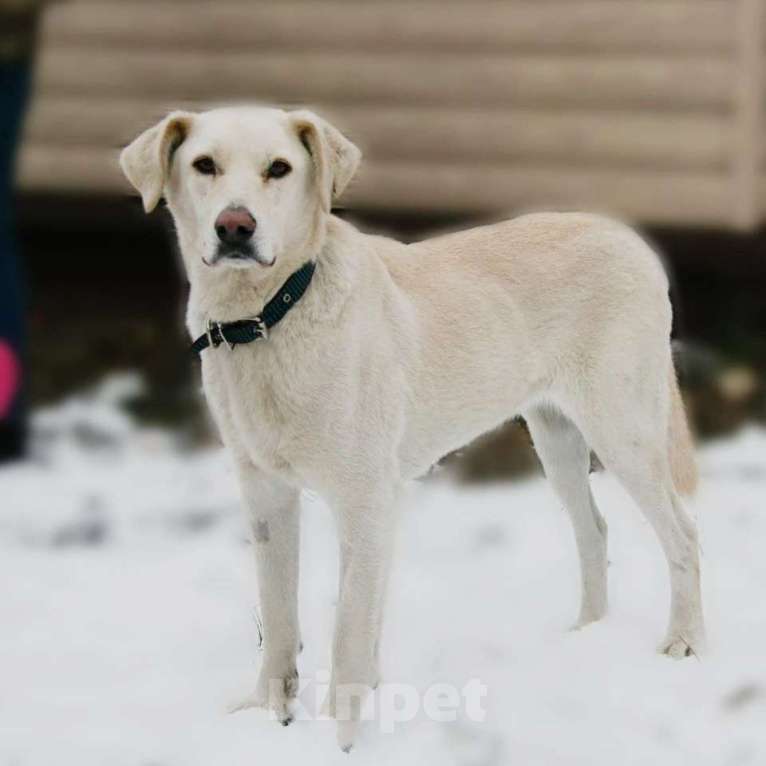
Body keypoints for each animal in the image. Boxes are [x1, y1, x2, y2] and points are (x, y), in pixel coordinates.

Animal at [121, 105, 708, 752]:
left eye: (279, 168)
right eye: (205, 165)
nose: (235, 227)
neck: (269, 315)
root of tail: (631, 239)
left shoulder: (365, 500)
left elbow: (350, 630)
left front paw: (340, 741)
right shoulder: (267, 495)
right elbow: (279, 618)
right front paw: (267, 716)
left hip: (622, 426)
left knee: (683, 535)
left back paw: (683, 642)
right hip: (555, 437)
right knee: (595, 530)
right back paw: (587, 634)